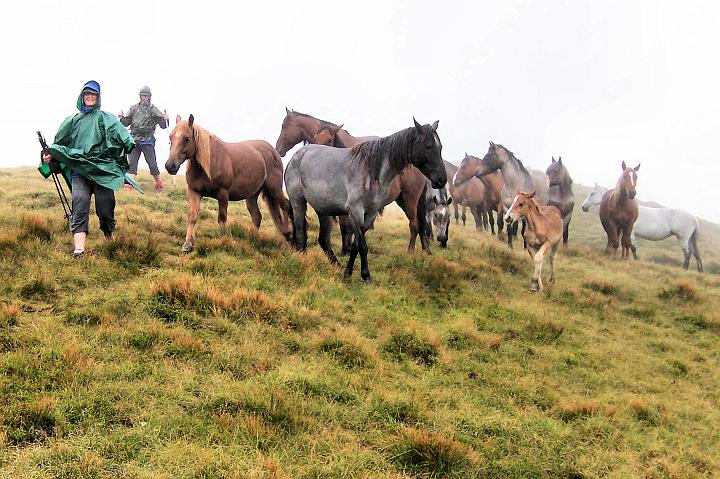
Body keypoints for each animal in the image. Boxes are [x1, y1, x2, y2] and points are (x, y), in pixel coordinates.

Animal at [166, 114, 292, 253]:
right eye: (170, 138)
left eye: (187, 138)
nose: (170, 166)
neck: (209, 163)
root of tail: (273, 152)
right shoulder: (194, 192)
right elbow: (192, 217)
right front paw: (187, 244)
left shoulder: (223, 194)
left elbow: (222, 218)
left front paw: (223, 241)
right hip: (252, 194)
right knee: (256, 216)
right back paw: (253, 239)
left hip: (274, 188)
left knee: (286, 206)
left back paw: (290, 237)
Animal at [316, 123, 434, 255]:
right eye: (315, 137)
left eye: (329, 140)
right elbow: (344, 227)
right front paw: (345, 250)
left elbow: (348, 228)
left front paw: (347, 250)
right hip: (403, 201)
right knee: (420, 223)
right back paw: (426, 250)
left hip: (410, 200)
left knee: (414, 224)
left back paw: (410, 250)